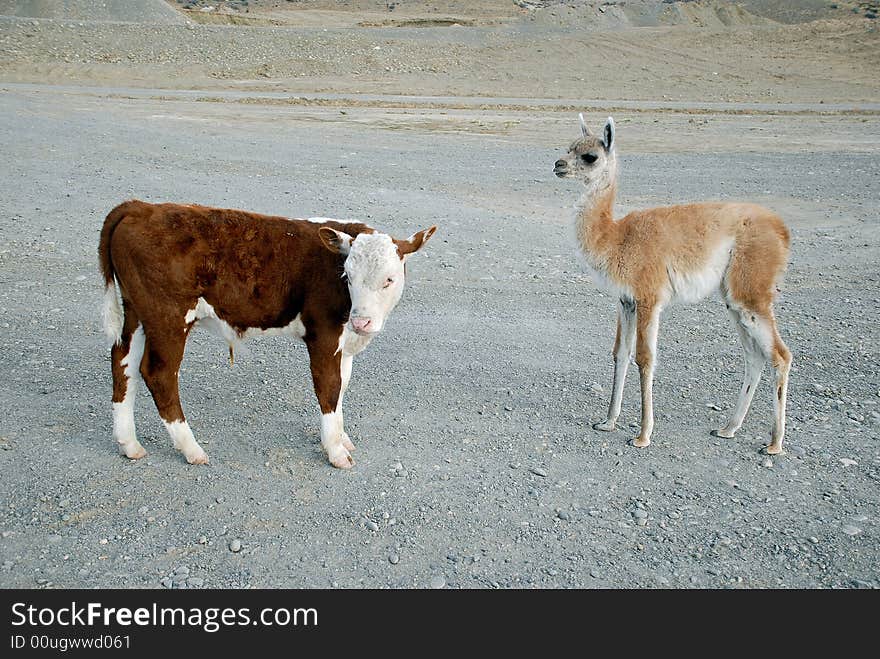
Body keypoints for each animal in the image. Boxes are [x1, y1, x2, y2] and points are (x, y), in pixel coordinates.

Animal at [99, 201, 436, 470]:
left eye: (389, 279)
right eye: (348, 276)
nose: (361, 321)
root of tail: (141, 207)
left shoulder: (345, 342)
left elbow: (342, 387)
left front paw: (342, 437)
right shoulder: (323, 336)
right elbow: (329, 389)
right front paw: (336, 451)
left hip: (137, 311)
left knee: (123, 362)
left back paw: (129, 444)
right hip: (167, 316)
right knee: (158, 373)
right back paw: (191, 449)